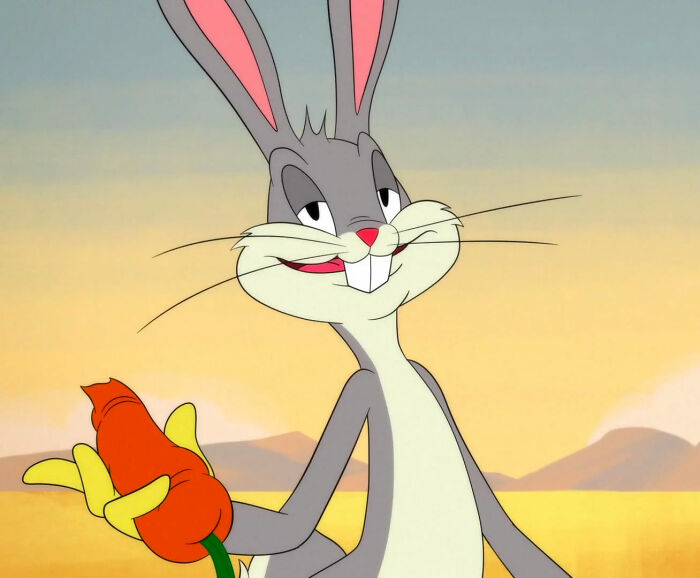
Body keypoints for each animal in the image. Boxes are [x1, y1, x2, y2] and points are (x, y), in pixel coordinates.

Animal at [26, 1, 572, 577]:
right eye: (311, 209)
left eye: (387, 193)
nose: (370, 231)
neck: (391, 366)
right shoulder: (359, 392)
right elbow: (293, 523)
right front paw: (141, 503)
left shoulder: (430, 383)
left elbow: (503, 523)